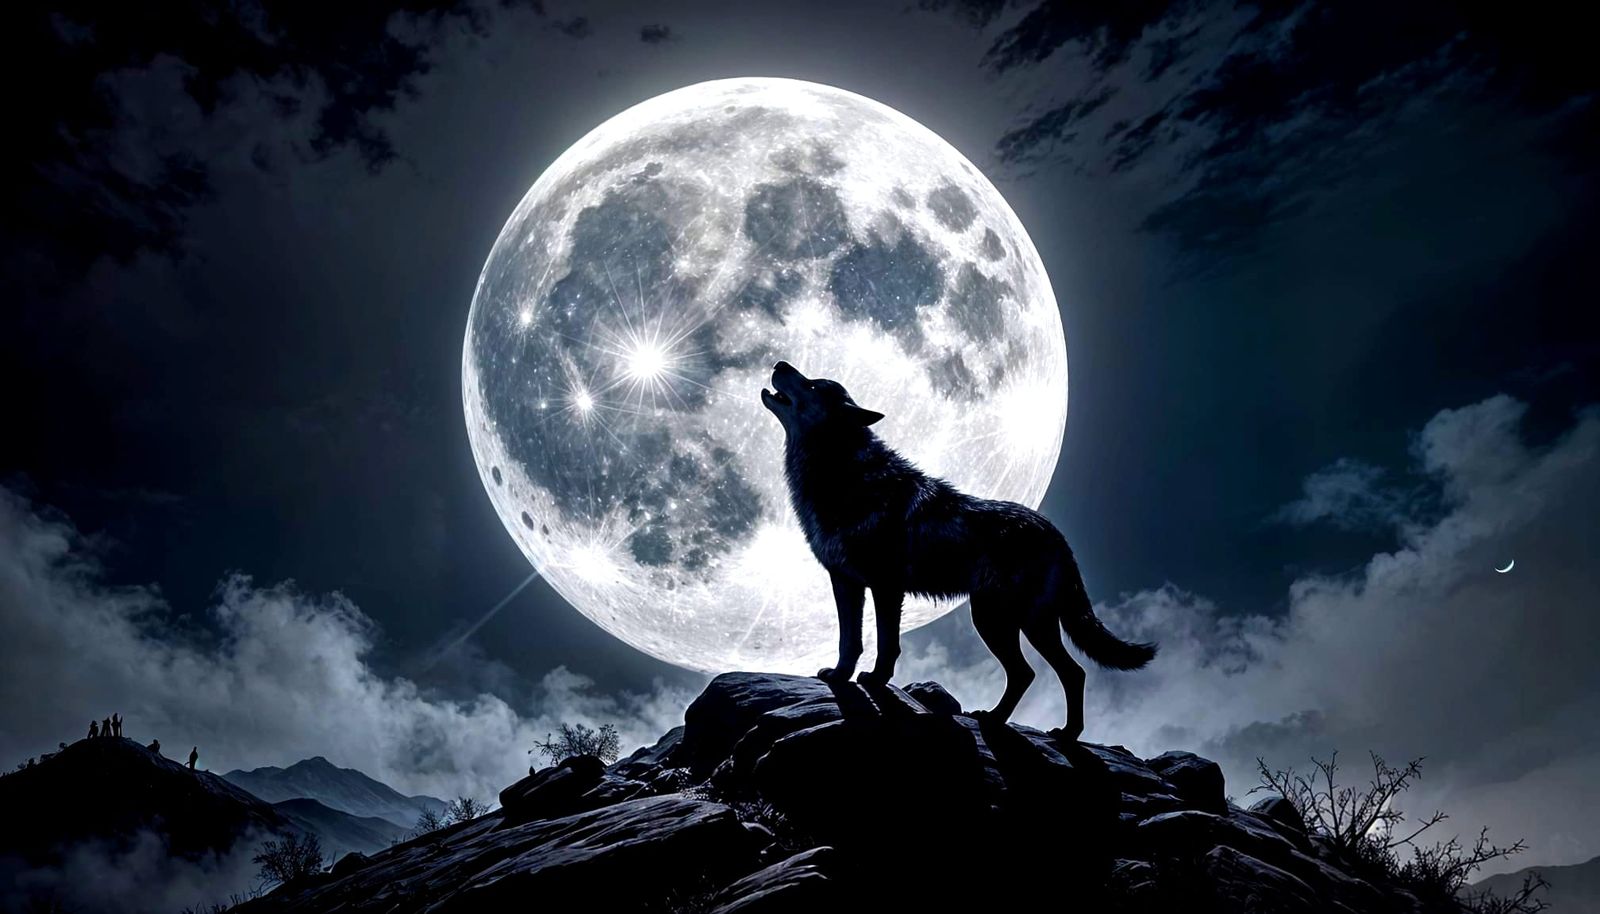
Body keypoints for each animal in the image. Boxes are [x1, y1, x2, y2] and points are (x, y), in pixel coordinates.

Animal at [761, 361, 1156, 738]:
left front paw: (874, 680)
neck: (843, 475)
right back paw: (1029, 726)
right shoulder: (846, 582)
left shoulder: (886, 587)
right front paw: (840, 675)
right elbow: (849, 640)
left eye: (812, 384)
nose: (780, 362)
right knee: (1053, 673)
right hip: (1015, 622)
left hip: (998, 620)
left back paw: (1039, 728)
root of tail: (1057, 535)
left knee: (1048, 673)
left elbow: (886, 644)